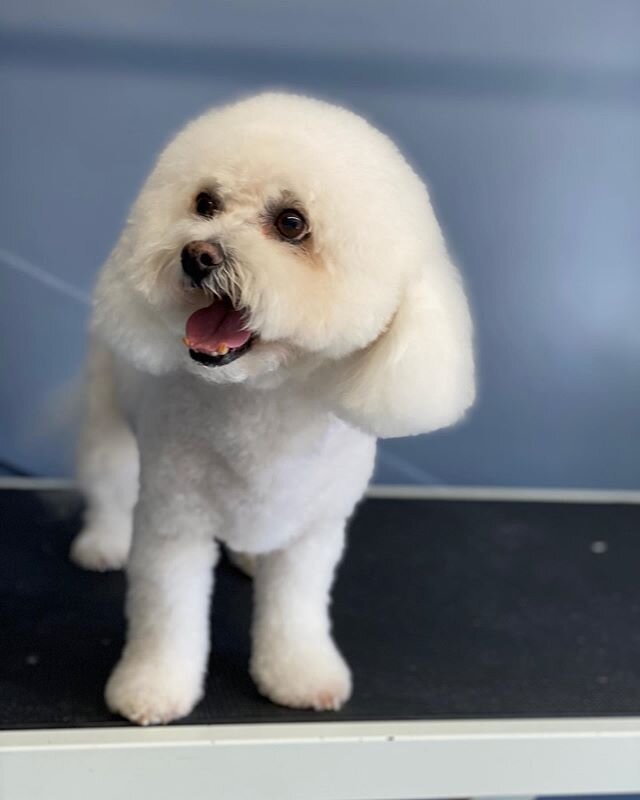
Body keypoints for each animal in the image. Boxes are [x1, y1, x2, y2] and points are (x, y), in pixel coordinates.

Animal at [71, 94, 476, 724]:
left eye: (292, 222)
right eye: (205, 203)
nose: (197, 254)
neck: (263, 403)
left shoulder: (313, 533)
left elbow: (297, 613)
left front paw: (299, 674)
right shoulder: (174, 523)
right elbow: (167, 615)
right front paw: (153, 687)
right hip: (106, 406)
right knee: (108, 479)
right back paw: (103, 541)